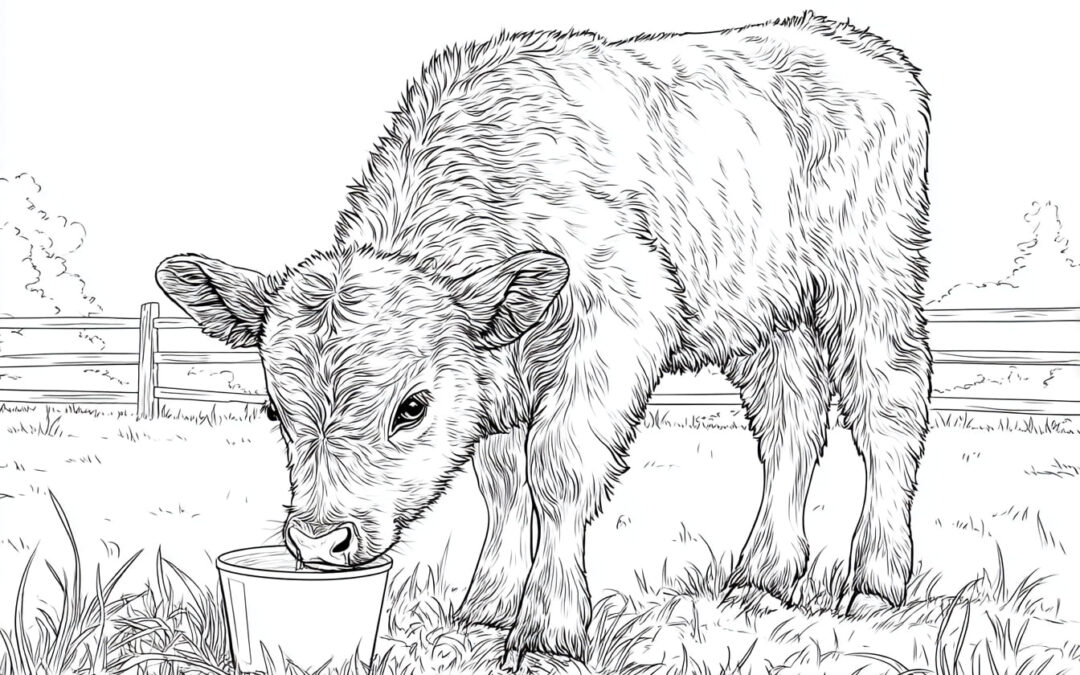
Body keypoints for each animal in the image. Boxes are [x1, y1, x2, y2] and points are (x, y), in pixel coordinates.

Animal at [156, 12, 931, 665]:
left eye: (411, 407)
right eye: (275, 411)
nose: (321, 539)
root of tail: (852, 45)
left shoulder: (617, 320)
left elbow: (557, 470)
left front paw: (545, 630)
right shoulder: (496, 384)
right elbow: (503, 482)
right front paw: (485, 606)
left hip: (872, 280)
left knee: (888, 406)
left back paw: (874, 580)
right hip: (768, 319)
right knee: (791, 420)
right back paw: (763, 573)